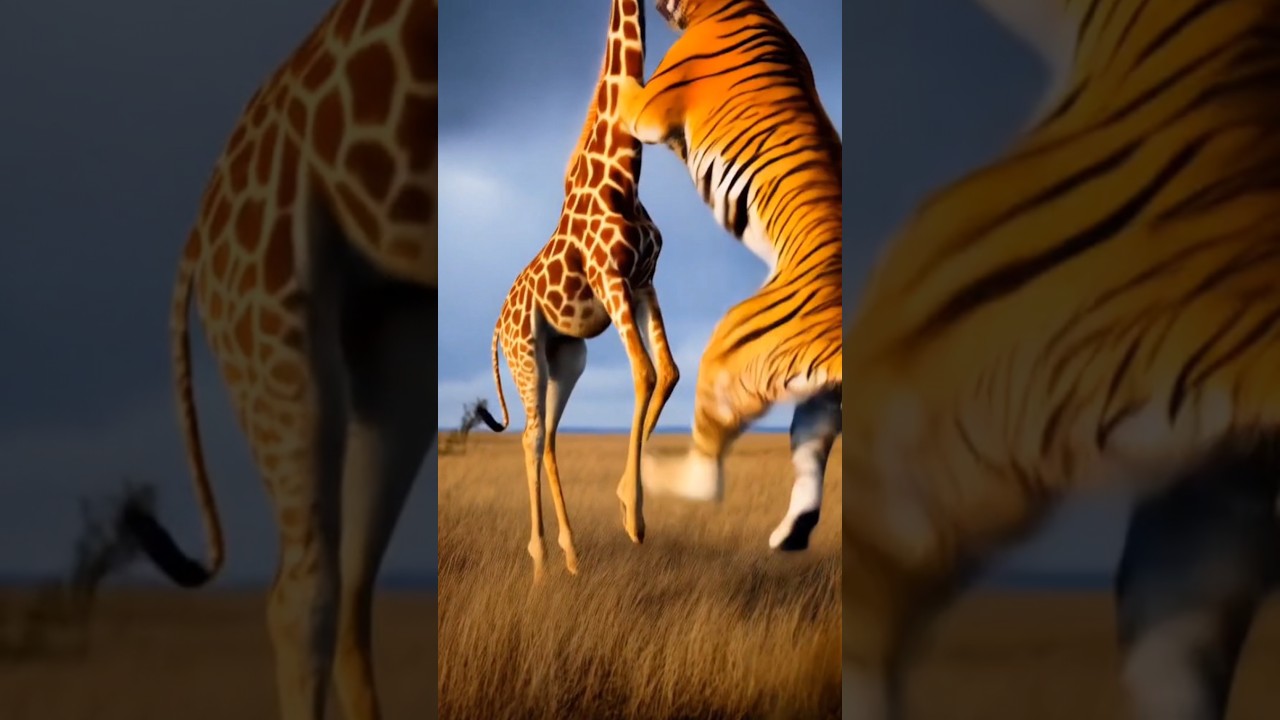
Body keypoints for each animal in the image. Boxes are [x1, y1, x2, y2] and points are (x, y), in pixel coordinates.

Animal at [475, 0, 679, 583]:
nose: (674, 10)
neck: (623, 172)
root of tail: (496, 325)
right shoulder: (612, 280)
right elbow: (645, 372)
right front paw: (634, 518)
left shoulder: (644, 282)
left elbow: (668, 372)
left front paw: (625, 498)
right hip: (525, 356)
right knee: (529, 435)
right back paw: (541, 560)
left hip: (567, 358)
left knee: (547, 436)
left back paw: (569, 554)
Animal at [613, 0, 843, 553]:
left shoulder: (650, 110)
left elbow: (630, 94)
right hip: (818, 400)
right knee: (808, 463)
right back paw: (788, 536)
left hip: (726, 352)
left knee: (707, 478)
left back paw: (646, 479)